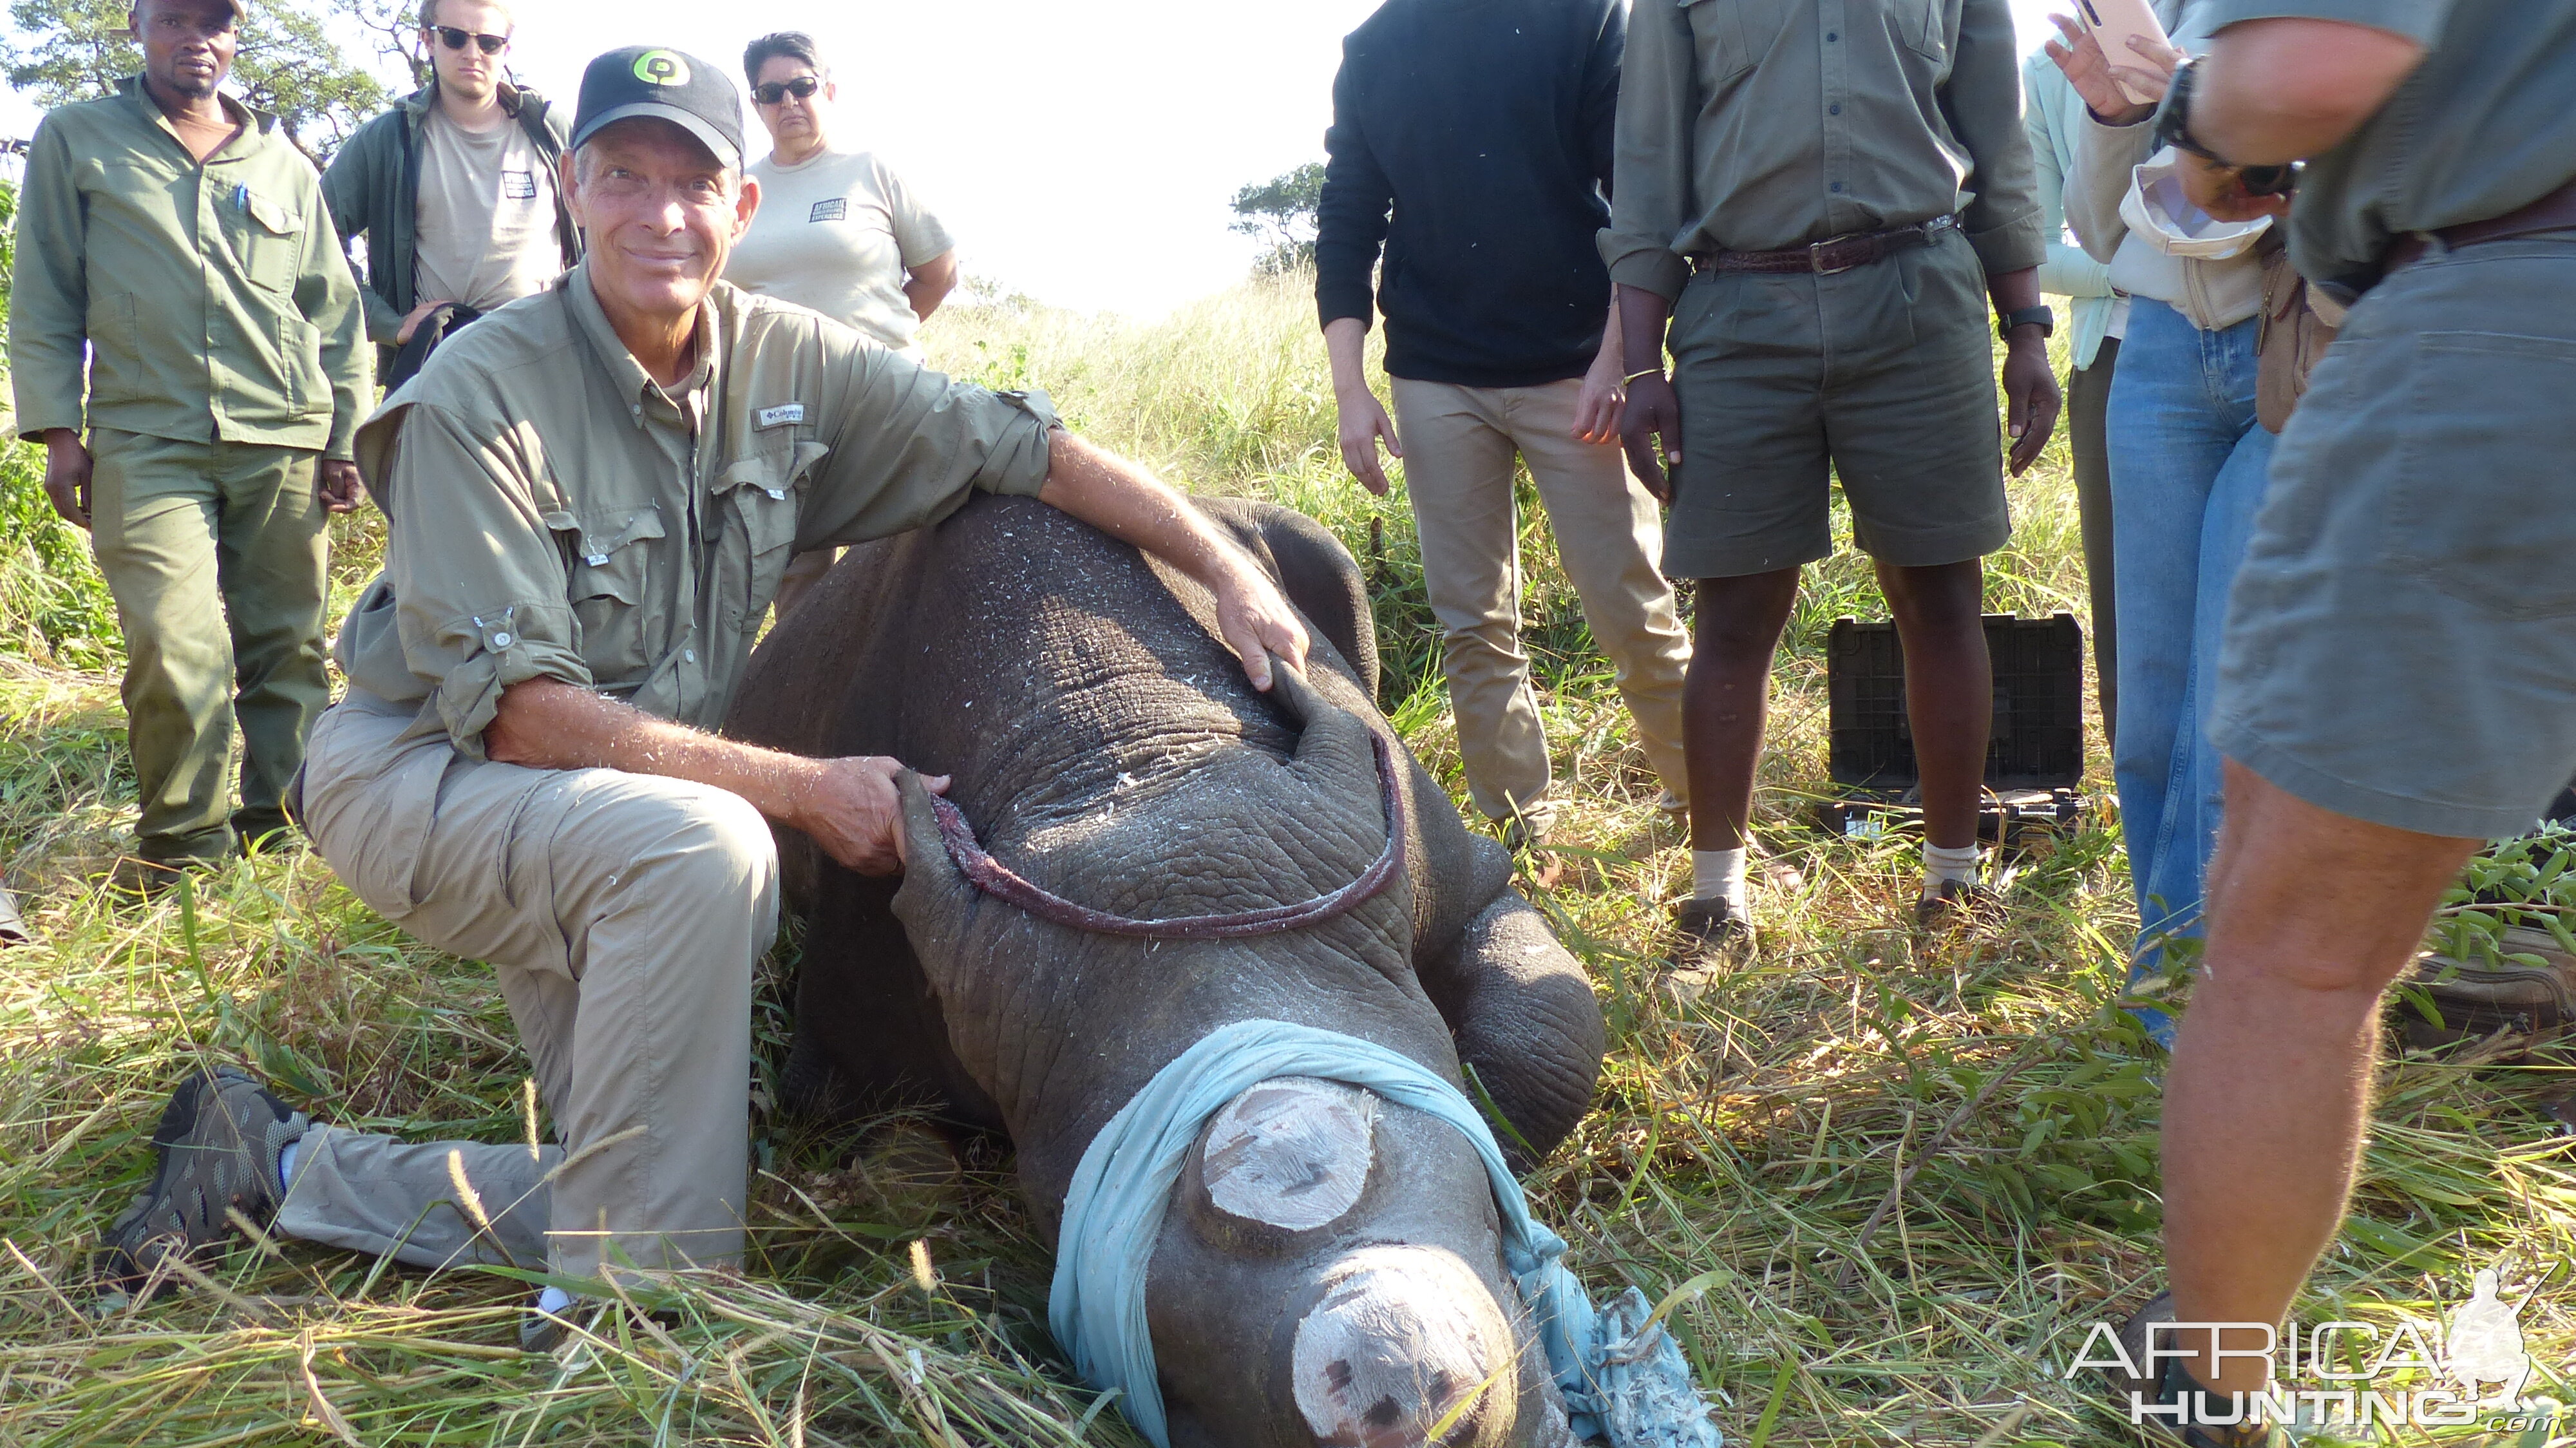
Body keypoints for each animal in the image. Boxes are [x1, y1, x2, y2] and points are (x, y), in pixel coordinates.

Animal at [726, 492, 1628, 1443]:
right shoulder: (852, 1049)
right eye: (1163, 1357)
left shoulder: (1451, 877)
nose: (1404, 1389)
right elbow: (899, 1177)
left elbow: (1546, 1047)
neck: (1136, 777)